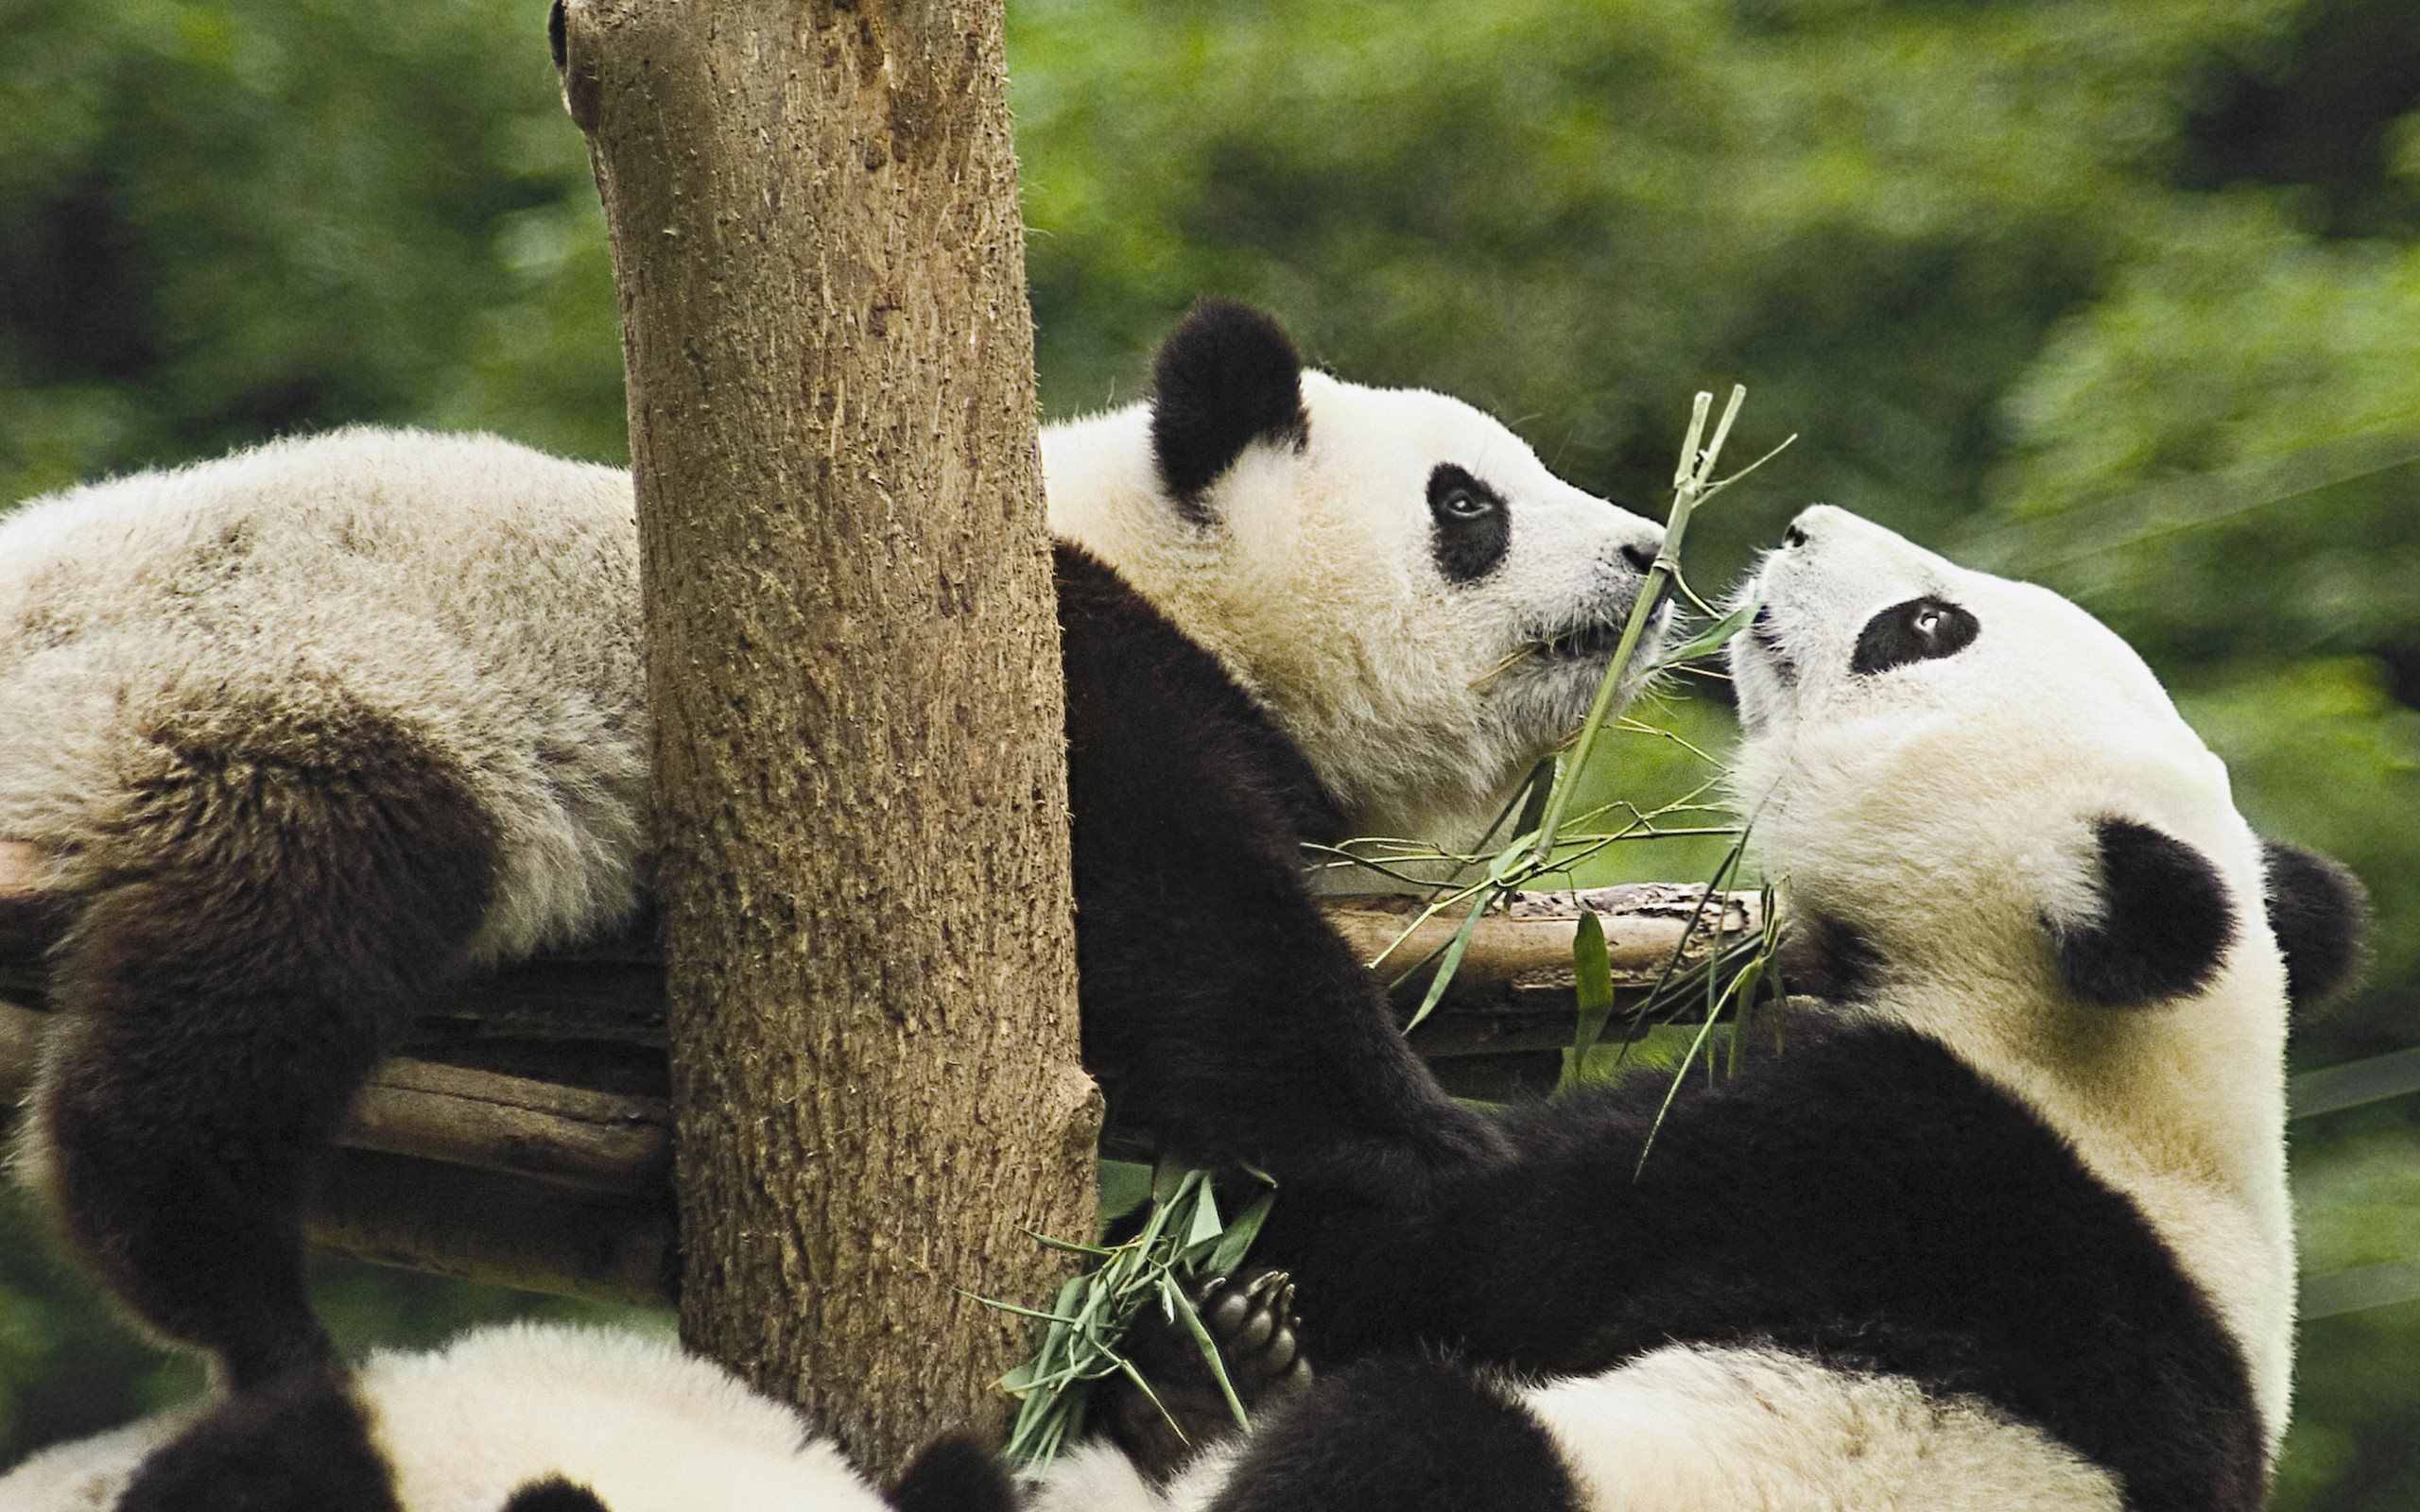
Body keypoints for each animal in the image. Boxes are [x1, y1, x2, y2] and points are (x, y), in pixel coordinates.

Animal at [0, 301, 1665, 1500]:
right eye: (1468, 502)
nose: (1654, 550)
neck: (1142, 554)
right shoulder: (1055, 687)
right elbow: (1186, 935)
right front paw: (1444, 1143)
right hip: (278, 688)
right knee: (265, 965)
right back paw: (237, 1300)